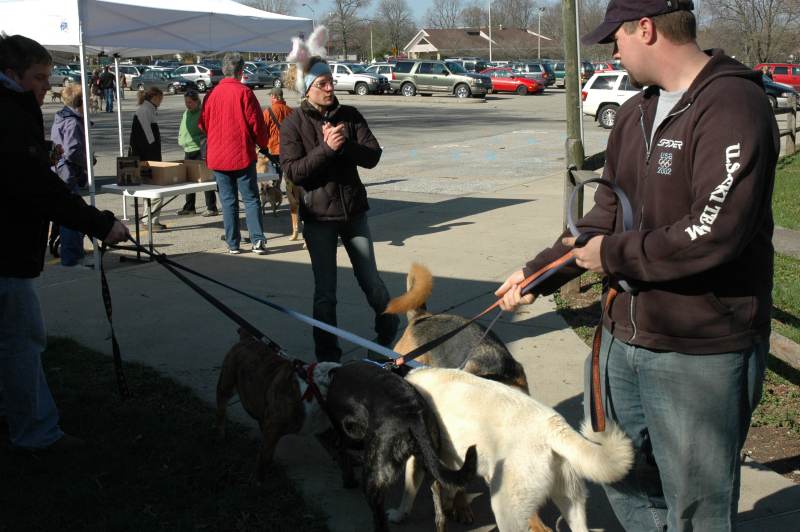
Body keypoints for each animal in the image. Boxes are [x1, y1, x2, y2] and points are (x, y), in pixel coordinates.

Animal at [214, 328, 336, 482]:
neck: (315, 388)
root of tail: (246, 339)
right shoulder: (273, 428)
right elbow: (264, 456)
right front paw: (259, 479)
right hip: (227, 384)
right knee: (221, 407)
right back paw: (220, 433)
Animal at [324, 362, 476, 532]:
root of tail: (413, 417)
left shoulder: (348, 435)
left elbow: (340, 450)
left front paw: (348, 479)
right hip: (429, 467)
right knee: (440, 516)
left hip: (373, 480)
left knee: (381, 522)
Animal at [390, 370, 636, 532]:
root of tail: (553, 427)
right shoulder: (451, 462)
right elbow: (451, 487)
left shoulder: (420, 460)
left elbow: (408, 491)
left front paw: (399, 514)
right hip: (570, 499)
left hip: (506, 507)